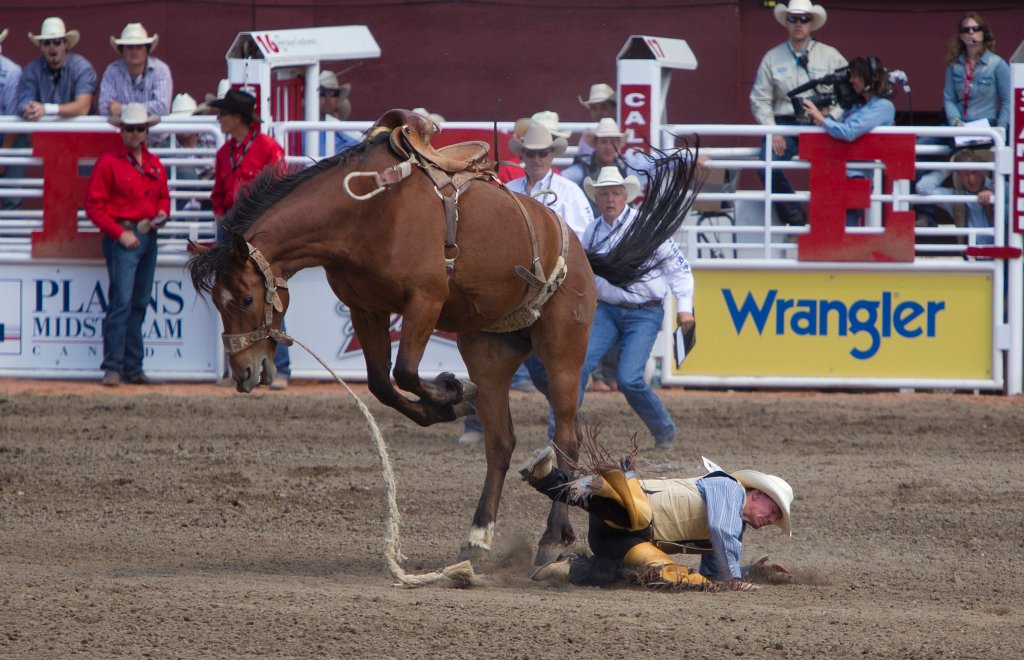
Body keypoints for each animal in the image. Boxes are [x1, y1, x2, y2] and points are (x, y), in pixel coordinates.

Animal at [188, 107, 700, 564]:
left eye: (246, 299)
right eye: (216, 302)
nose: (244, 371)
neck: (366, 210)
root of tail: (578, 245)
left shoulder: (426, 302)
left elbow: (405, 372)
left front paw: (452, 393)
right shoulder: (367, 308)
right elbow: (382, 383)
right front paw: (452, 401)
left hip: (564, 349)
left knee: (567, 439)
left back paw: (553, 538)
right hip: (489, 349)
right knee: (501, 443)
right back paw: (478, 534)